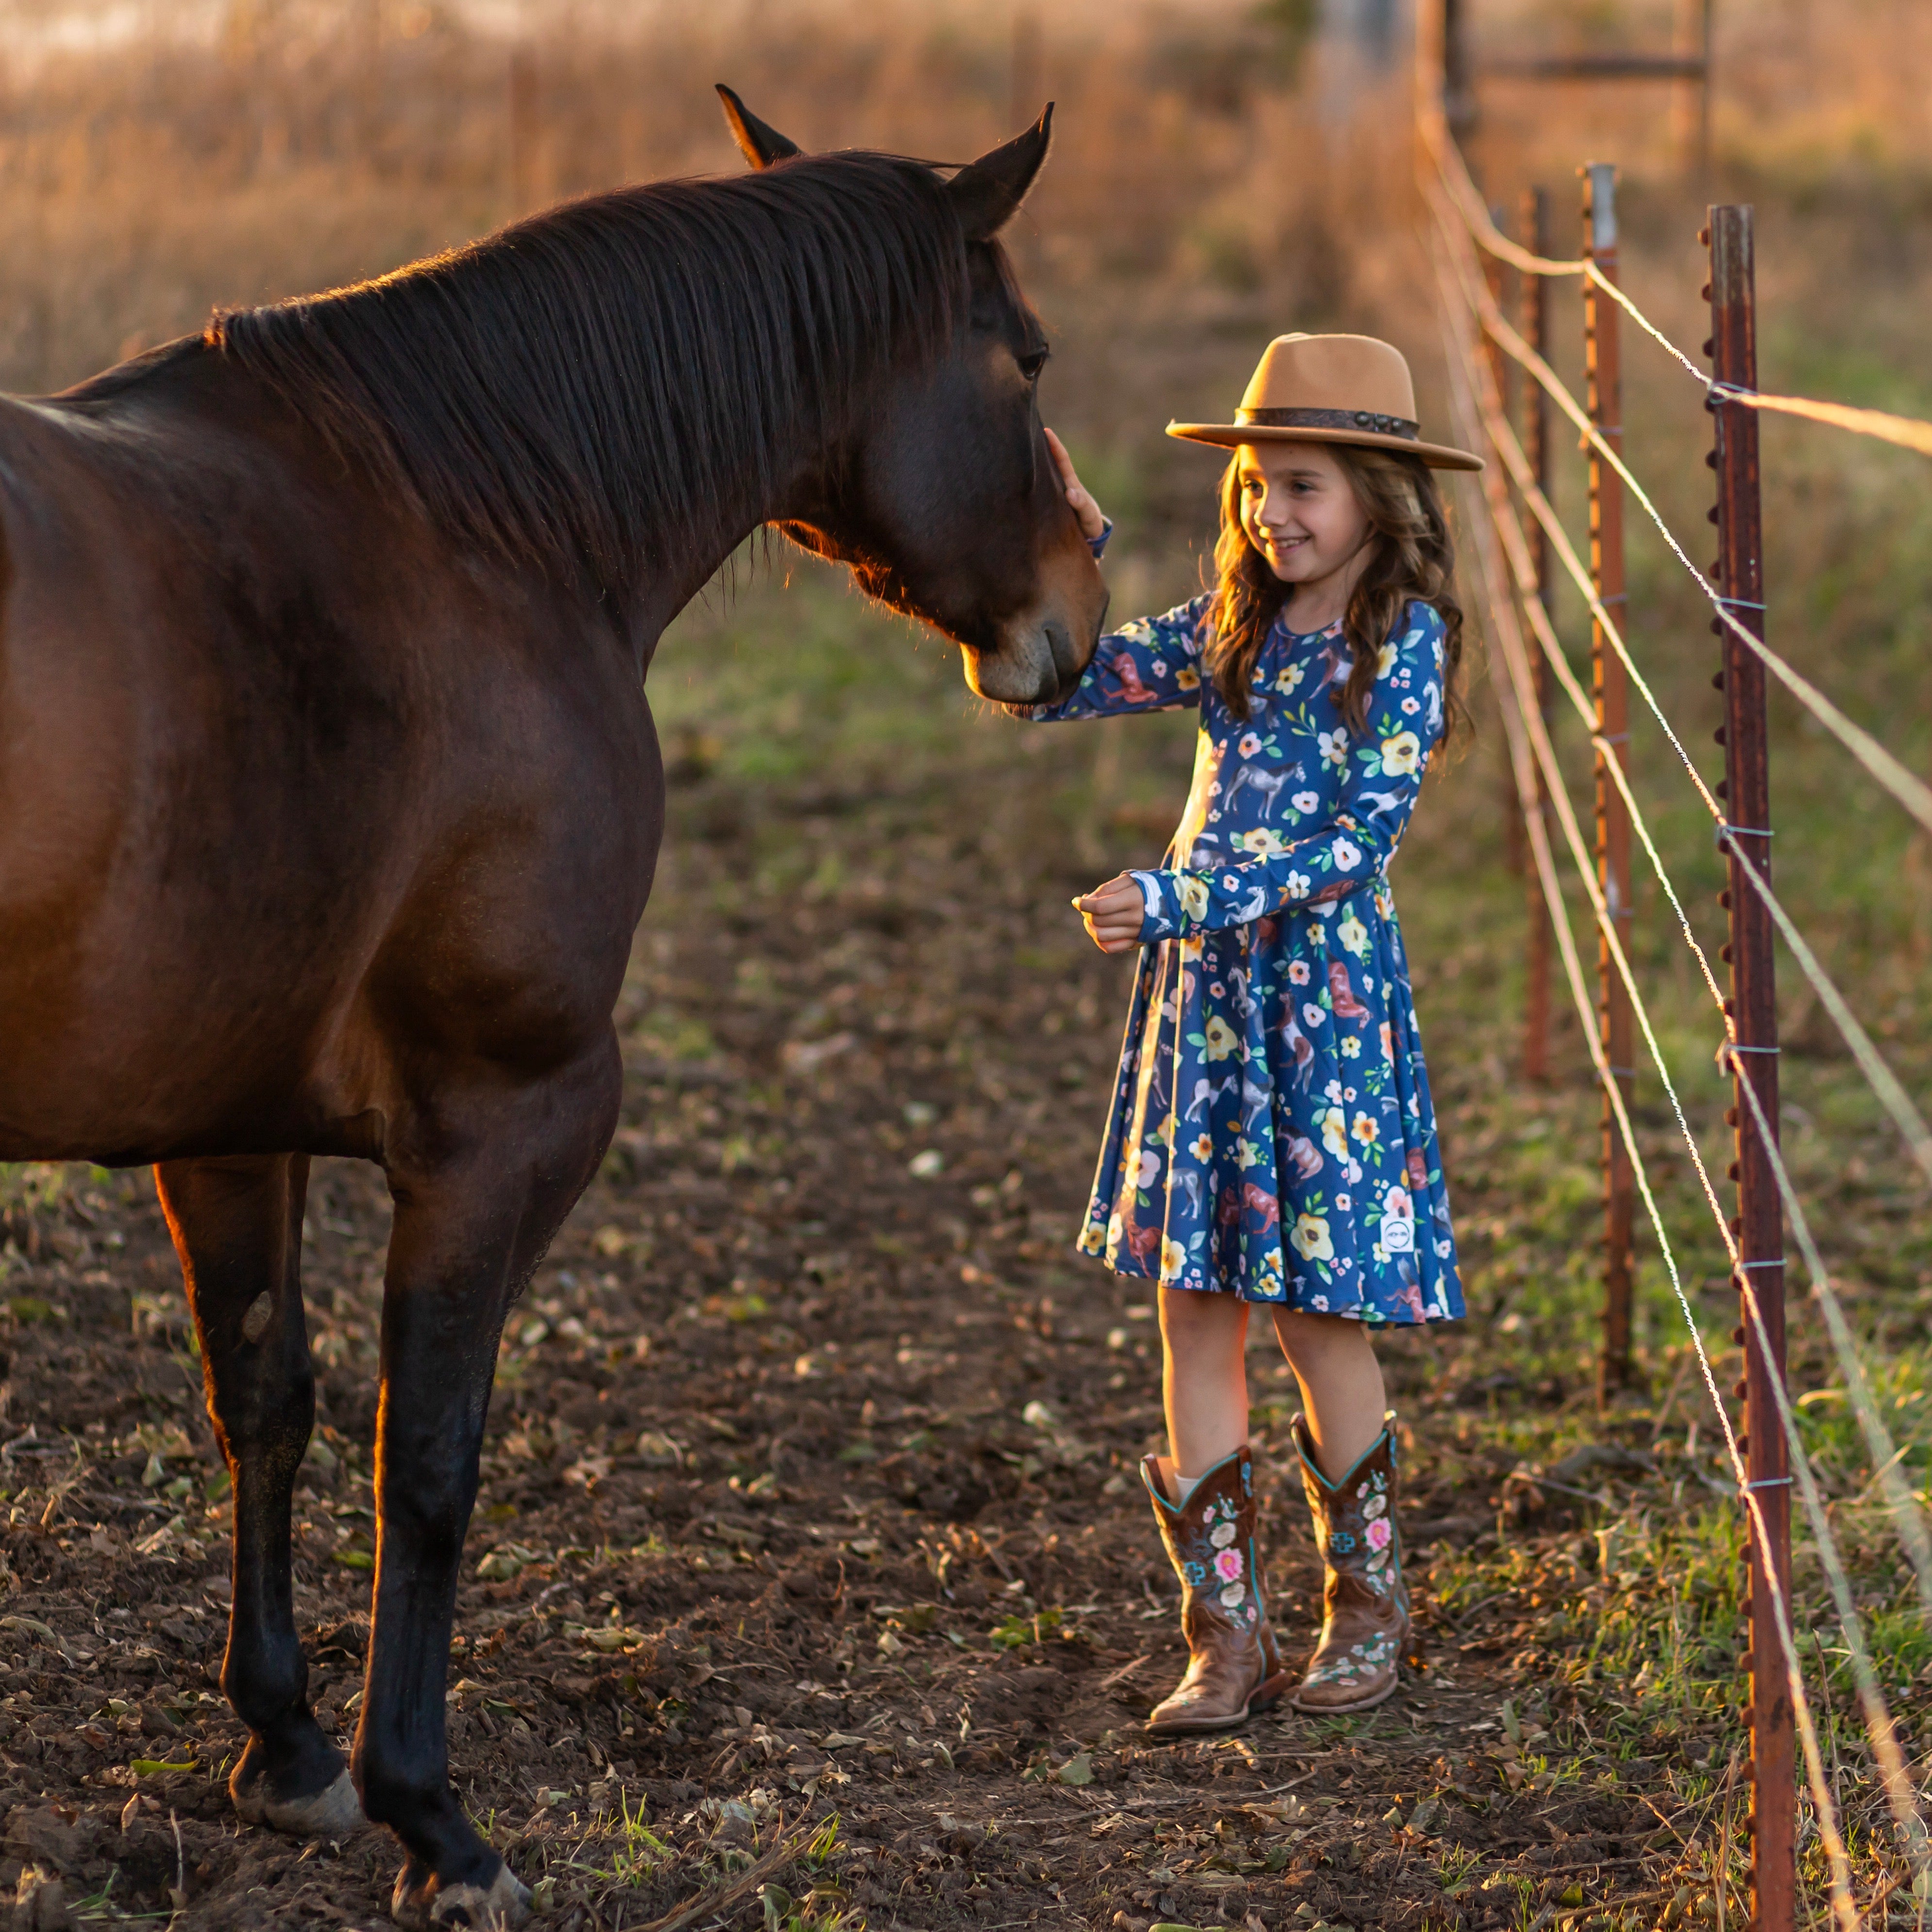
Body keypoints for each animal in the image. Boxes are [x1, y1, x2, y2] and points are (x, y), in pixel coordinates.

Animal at [0, 86, 1105, 1926]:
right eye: (1022, 360)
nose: (1079, 606)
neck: (472, 527)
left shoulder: (225, 1122)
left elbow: (268, 1403)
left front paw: (285, 1749)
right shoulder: (505, 1118)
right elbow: (429, 1455)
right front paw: (431, 1819)